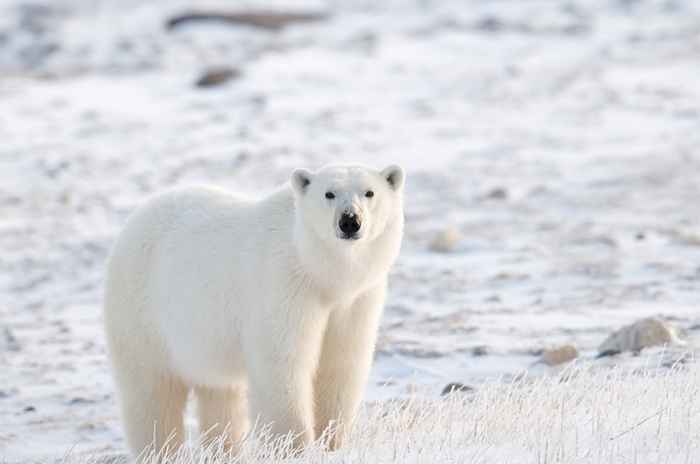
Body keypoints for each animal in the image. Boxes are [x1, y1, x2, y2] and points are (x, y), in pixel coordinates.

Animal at [102, 163, 404, 456]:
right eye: (329, 193)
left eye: (369, 192)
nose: (350, 221)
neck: (320, 273)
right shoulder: (283, 287)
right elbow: (282, 364)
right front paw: (293, 447)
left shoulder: (356, 300)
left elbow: (341, 364)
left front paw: (331, 442)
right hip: (142, 314)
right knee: (152, 395)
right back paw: (160, 451)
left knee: (220, 396)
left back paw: (225, 452)